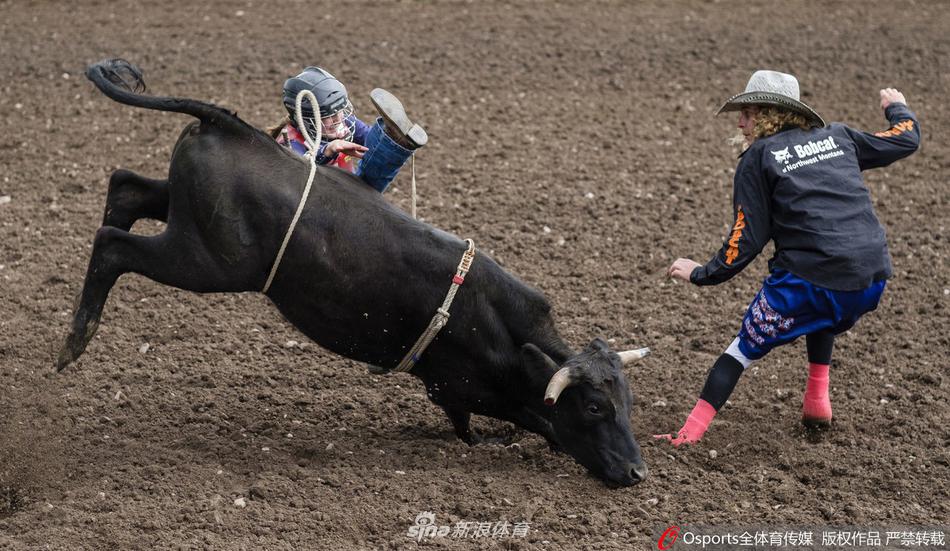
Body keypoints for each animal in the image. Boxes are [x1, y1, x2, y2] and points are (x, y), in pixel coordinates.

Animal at [59, 59, 652, 488]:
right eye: (594, 406)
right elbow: (497, 421)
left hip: (185, 219)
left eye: (626, 402)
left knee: (126, 187)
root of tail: (231, 127)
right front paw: (508, 440)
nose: (637, 472)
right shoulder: (458, 386)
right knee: (111, 245)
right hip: (205, 260)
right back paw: (75, 341)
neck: (496, 321)